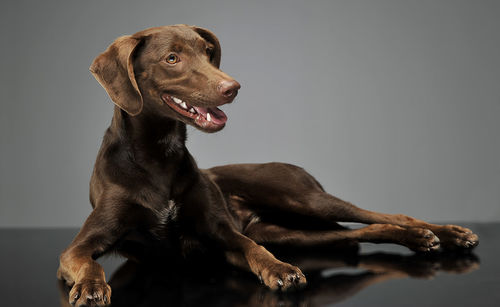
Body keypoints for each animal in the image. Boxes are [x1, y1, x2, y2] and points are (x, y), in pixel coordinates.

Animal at [56, 24, 478, 307]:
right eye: (172, 58)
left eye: (207, 52)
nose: (232, 87)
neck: (158, 154)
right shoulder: (80, 247)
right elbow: (86, 262)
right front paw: (91, 286)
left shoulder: (222, 233)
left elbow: (253, 249)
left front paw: (279, 270)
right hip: (291, 233)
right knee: (363, 232)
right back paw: (422, 238)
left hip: (306, 200)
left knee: (390, 215)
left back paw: (445, 234)